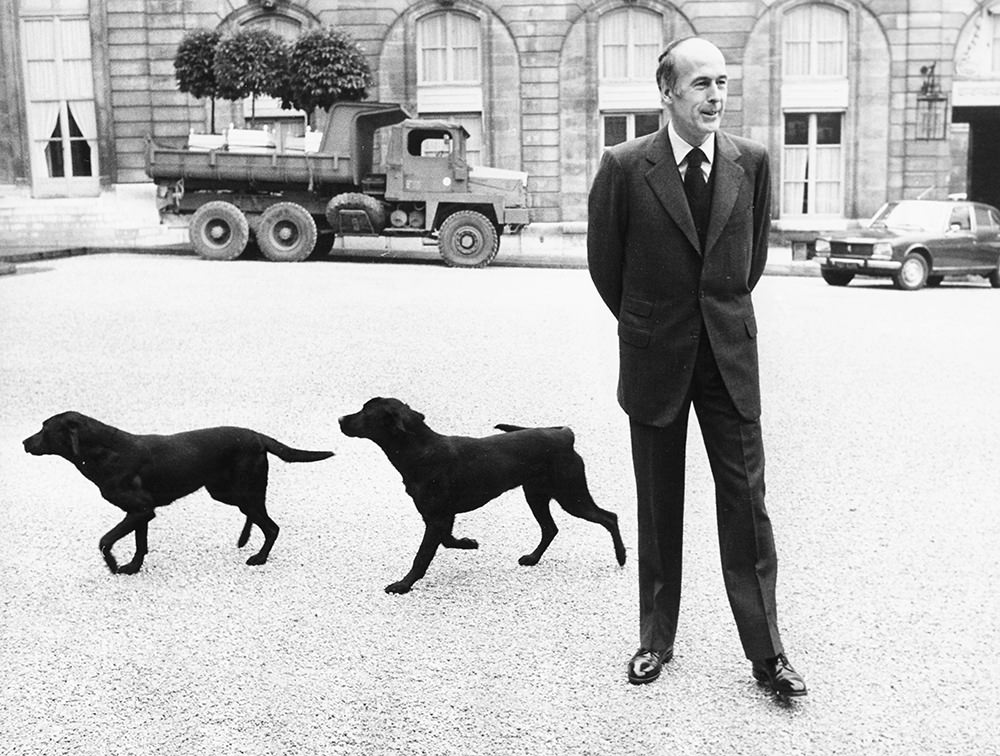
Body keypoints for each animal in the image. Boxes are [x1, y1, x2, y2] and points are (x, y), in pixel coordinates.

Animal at [22, 414, 336, 572]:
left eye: (44, 428)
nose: (24, 442)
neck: (106, 450)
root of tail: (258, 436)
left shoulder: (140, 509)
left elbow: (104, 540)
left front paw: (113, 565)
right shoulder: (140, 513)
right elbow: (140, 543)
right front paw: (133, 567)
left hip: (240, 490)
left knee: (271, 526)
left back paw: (258, 558)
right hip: (225, 491)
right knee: (256, 515)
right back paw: (244, 540)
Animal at [338, 398, 624, 592]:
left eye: (365, 411)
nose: (340, 419)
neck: (420, 450)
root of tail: (565, 435)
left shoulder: (437, 517)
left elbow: (422, 556)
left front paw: (403, 585)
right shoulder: (438, 516)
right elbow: (446, 541)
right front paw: (468, 543)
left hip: (571, 497)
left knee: (609, 517)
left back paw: (621, 557)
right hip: (536, 495)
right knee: (550, 529)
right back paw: (532, 558)